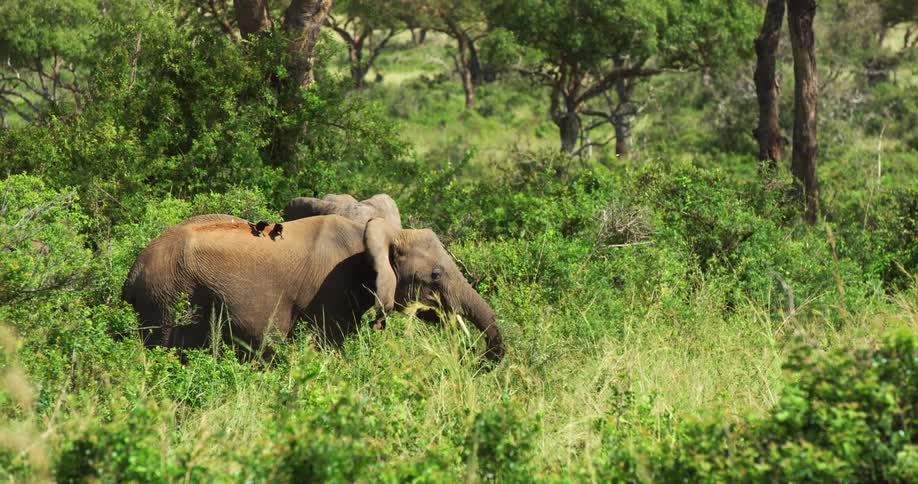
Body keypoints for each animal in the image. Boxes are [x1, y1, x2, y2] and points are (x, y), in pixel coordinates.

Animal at [121, 214, 504, 362]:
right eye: (436, 275)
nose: (478, 359)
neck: (375, 232)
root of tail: (132, 273)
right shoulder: (332, 288)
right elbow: (329, 343)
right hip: (166, 298)